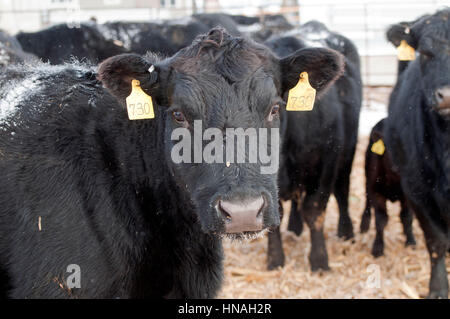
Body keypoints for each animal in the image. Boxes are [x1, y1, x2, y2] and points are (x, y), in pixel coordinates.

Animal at [360, 119, 416, 258]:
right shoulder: (376, 192)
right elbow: (381, 219)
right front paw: (378, 248)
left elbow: (407, 217)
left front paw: (411, 241)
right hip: (367, 176)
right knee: (367, 200)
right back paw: (364, 224)